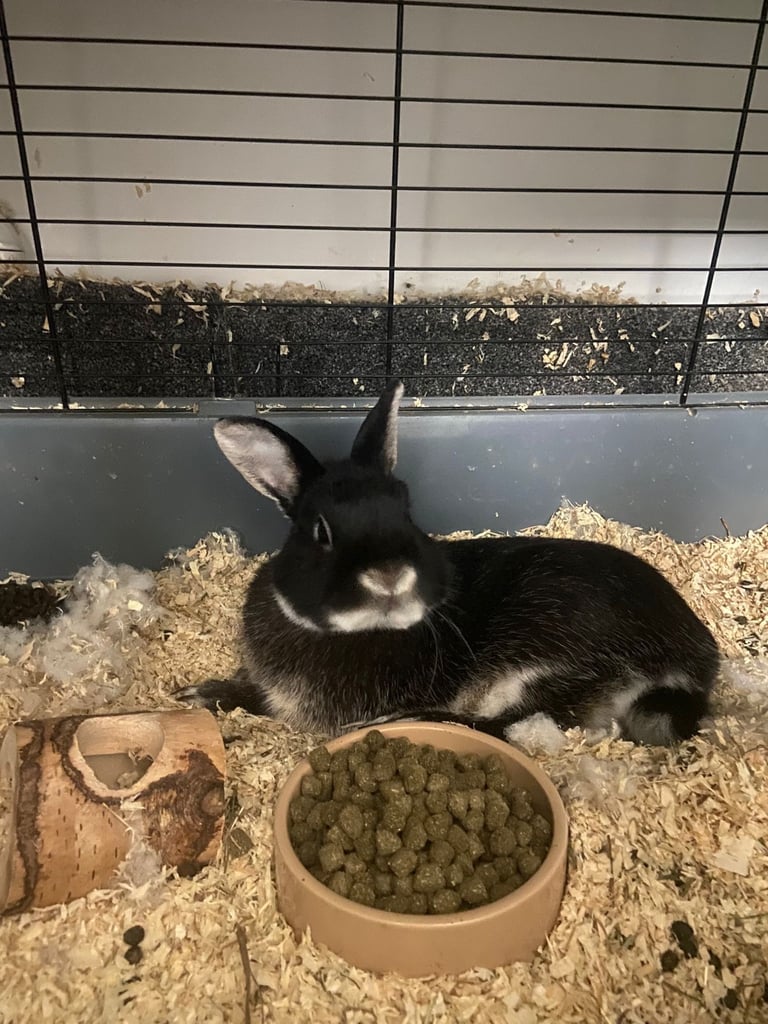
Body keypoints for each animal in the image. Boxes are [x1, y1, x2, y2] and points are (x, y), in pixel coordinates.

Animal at [176, 380, 720, 747]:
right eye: (320, 532)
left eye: (406, 511)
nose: (390, 578)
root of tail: (690, 663)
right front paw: (196, 697)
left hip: (547, 656)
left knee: (508, 723)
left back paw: (399, 721)